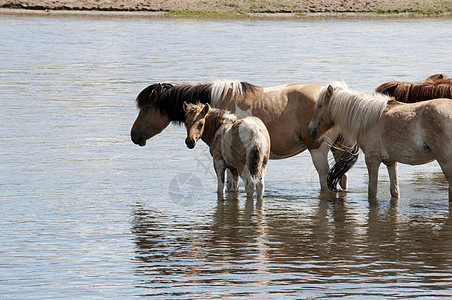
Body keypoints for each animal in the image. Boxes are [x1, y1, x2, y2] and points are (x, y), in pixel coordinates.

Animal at [129, 79, 354, 191]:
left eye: (146, 108)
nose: (133, 135)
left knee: (325, 180)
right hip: (337, 151)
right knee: (341, 178)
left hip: (319, 151)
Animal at [308, 81, 452, 202]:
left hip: (446, 163)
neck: (368, 119)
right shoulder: (391, 162)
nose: (311, 131)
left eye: (319, 106)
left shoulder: (372, 160)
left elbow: (372, 192)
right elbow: (394, 191)